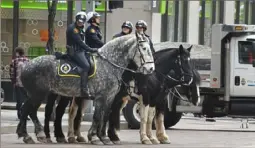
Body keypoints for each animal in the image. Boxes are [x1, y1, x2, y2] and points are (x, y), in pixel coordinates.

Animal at [17, 32, 155, 145]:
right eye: (144, 48)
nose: (151, 69)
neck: (108, 65)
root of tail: (26, 65)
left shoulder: (109, 98)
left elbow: (104, 116)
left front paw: (103, 137)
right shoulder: (101, 97)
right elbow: (97, 116)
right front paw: (94, 137)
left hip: (42, 94)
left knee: (30, 111)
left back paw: (32, 135)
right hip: (38, 94)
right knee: (29, 111)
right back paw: (33, 135)